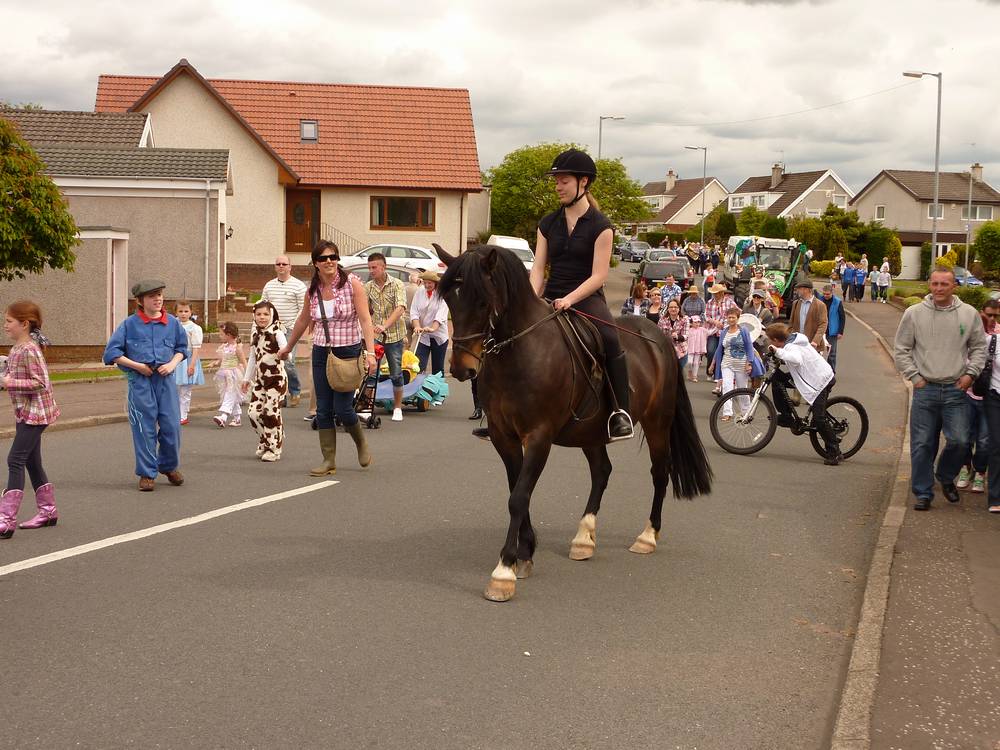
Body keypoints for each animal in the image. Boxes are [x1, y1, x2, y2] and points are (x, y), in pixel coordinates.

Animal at [438, 247, 712, 604]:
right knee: (602, 472)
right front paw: (525, 553)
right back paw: (584, 538)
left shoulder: (539, 436)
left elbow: (519, 496)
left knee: (659, 474)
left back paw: (647, 536)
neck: (520, 354)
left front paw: (504, 571)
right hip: (591, 432)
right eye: (449, 300)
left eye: (483, 302)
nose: (462, 368)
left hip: (657, 423)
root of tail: (658, 336)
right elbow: (517, 491)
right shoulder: (503, 436)